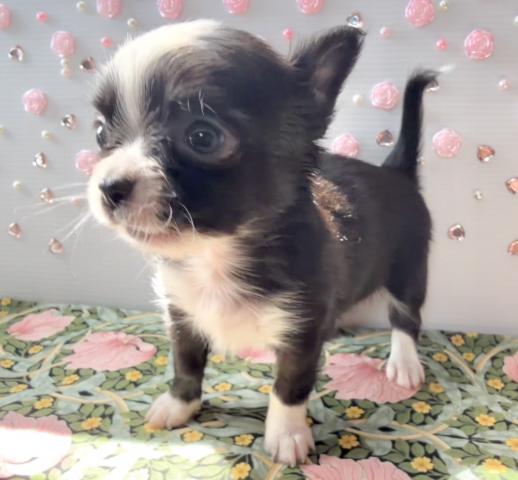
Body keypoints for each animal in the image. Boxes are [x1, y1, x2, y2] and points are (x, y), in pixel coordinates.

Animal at [87, 20, 434, 466]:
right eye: (100, 133)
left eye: (203, 136)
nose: (108, 186)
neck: (216, 256)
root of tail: (396, 171)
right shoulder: (182, 315)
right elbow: (186, 364)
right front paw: (179, 403)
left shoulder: (301, 331)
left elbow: (288, 386)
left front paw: (286, 434)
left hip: (410, 270)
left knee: (406, 318)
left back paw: (404, 361)